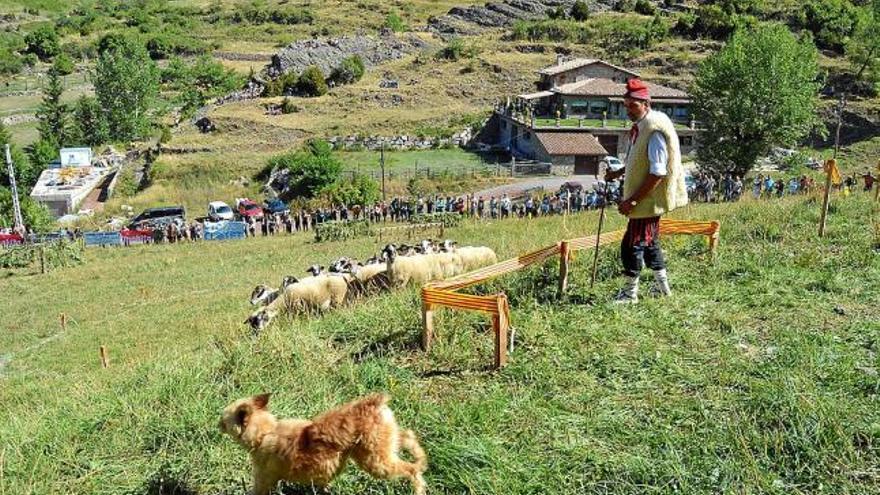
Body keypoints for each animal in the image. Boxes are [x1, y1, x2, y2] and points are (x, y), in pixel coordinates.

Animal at [219, 394, 426, 494]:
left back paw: (418, 488)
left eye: (223, 420)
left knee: (410, 470)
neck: (265, 432)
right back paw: (422, 459)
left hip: (376, 462)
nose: (217, 424)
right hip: (385, 444)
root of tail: (372, 403)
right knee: (409, 437)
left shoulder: (263, 481)